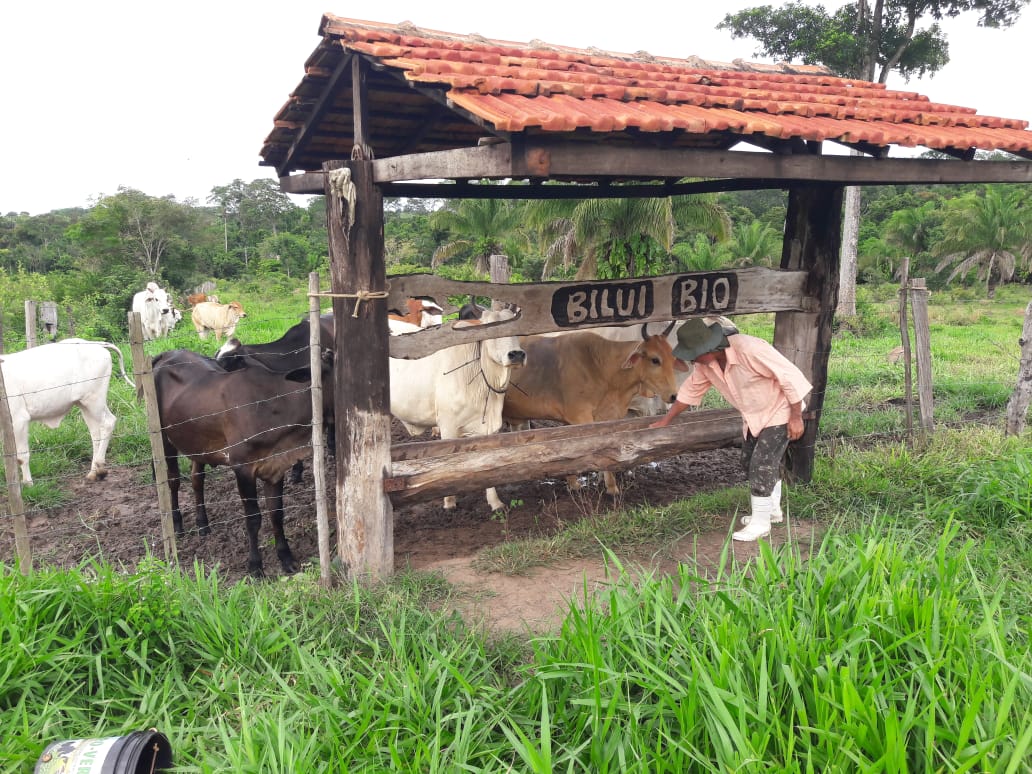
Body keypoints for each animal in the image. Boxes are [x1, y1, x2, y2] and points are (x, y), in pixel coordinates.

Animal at [0, 338, 135, 485]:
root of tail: (96, 344)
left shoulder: (19, 419)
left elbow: (21, 456)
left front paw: (28, 484)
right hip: (85, 404)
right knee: (95, 433)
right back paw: (93, 472)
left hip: (94, 400)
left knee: (108, 423)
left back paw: (99, 467)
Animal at [152, 344, 332, 577]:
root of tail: (167, 354)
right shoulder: (243, 469)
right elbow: (253, 518)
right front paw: (255, 566)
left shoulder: (275, 468)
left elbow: (276, 513)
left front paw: (286, 558)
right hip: (165, 438)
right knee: (173, 480)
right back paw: (177, 525)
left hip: (198, 444)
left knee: (197, 479)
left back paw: (203, 525)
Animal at [390, 309, 528, 516]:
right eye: (491, 330)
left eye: (518, 331)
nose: (517, 355)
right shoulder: (448, 426)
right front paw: (449, 502)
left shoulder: (488, 429)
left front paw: (495, 502)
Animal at [501, 328, 685, 497]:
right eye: (655, 359)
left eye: (672, 358)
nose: (674, 395)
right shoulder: (581, 417)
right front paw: (610, 488)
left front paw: (583, 483)